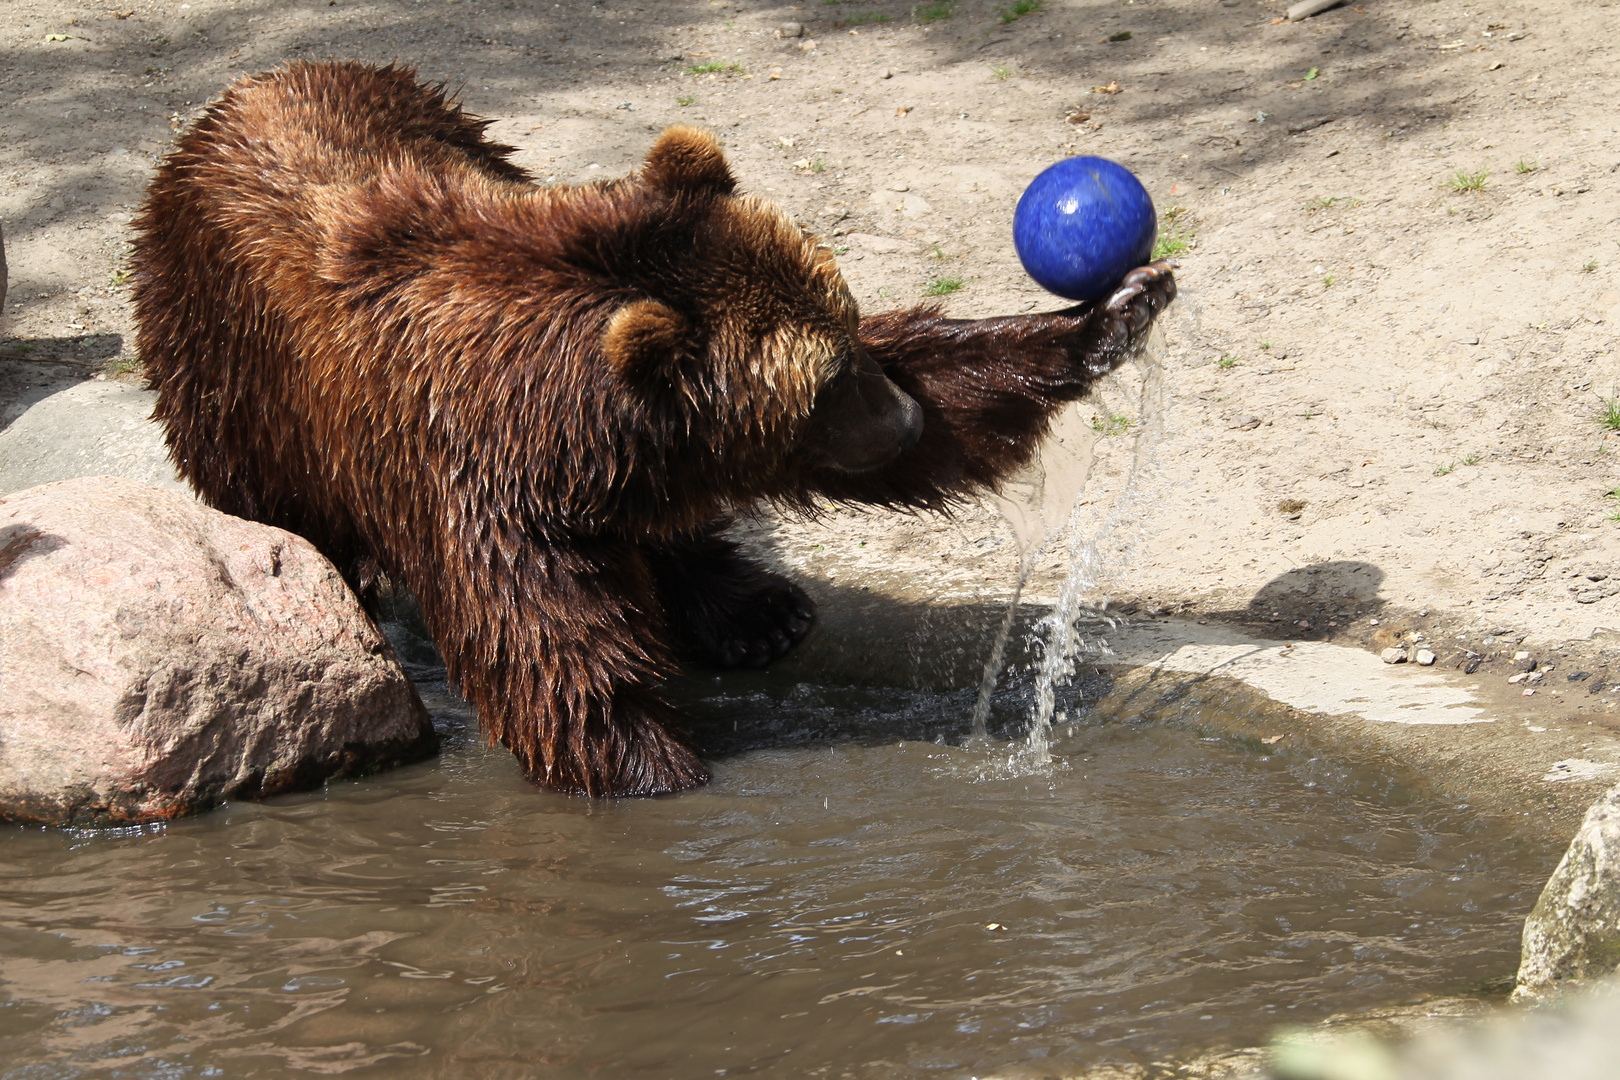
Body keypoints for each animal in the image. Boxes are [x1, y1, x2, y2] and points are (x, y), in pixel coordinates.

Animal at [132, 63, 1172, 799]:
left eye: (848, 331)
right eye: (829, 381)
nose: (904, 418)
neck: (553, 418)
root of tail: (238, 96)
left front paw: (1111, 313)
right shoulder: (472, 490)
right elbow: (564, 667)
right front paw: (660, 768)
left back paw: (754, 610)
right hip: (232, 383)